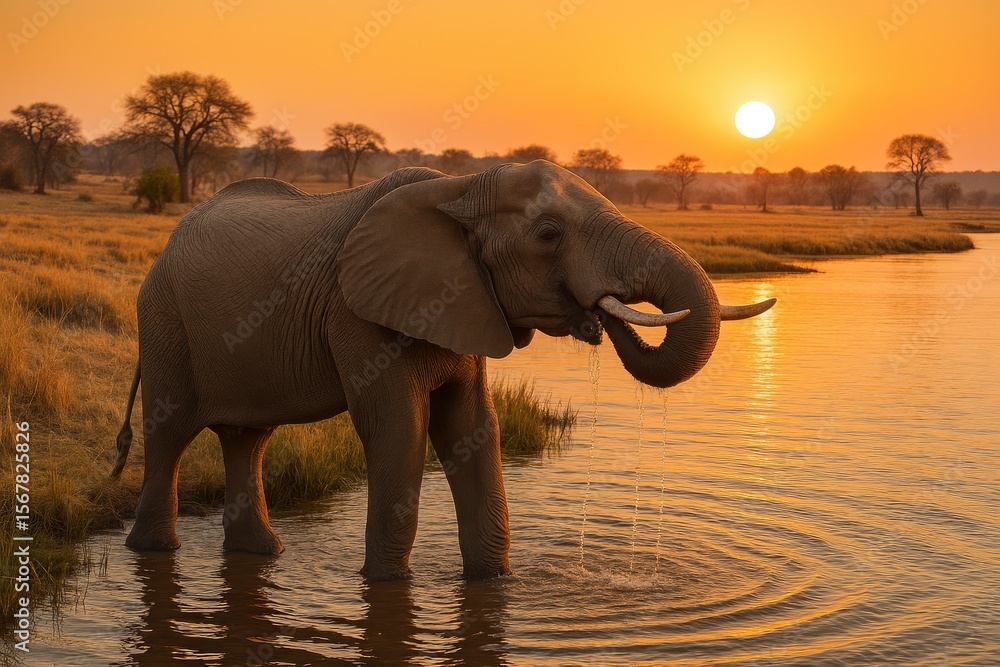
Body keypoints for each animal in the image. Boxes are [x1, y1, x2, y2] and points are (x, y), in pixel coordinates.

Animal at [110, 160, 773, 580]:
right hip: (164, 321)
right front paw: (384, 585)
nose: (595, 318)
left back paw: (261, 556)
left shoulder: (468, 306)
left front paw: (494, 584)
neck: (460, 191)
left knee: (247, 439)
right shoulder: (360, 314)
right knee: (170, 434)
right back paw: (154, 550)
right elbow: (400, 432)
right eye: (548, 235)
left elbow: (474, 430)